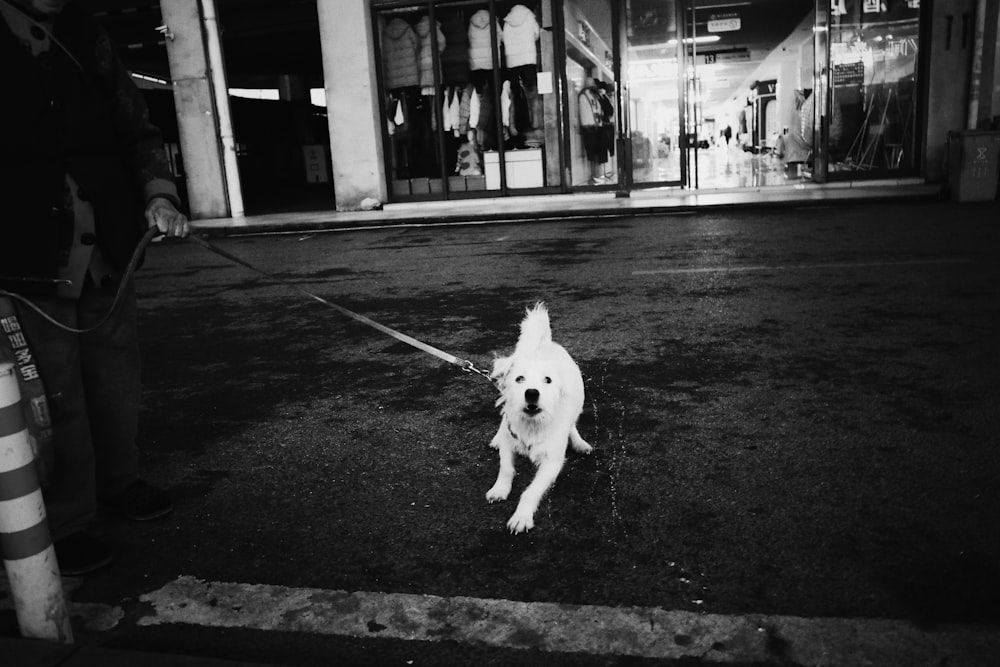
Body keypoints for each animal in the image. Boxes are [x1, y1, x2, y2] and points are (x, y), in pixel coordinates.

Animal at [486, 306, 588, 536]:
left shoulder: (552, 462)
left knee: (572, 425)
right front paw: (500, 489)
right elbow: (506, 468)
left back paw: (579, 442)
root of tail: (544, 344)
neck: (532, 425)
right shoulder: (510, 441)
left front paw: (521, 517)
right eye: (519, 379)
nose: (531, 393)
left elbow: (530, 491)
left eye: (548, 380)